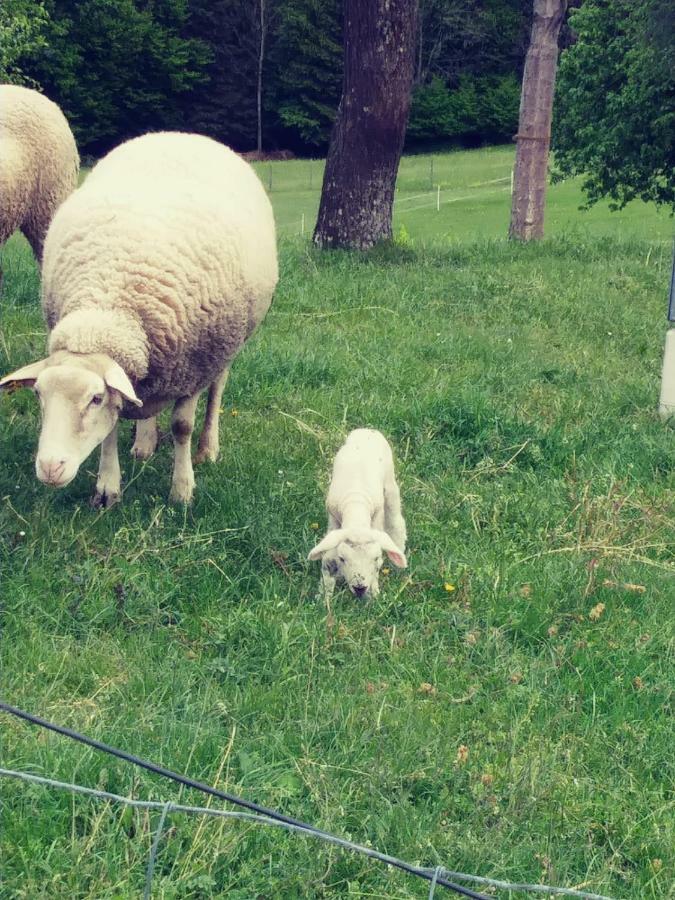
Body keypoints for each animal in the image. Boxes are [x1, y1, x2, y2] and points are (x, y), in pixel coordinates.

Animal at [0, 130, 278, 506]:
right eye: (38, 395)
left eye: (95, 398)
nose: (49, 468)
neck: (107, 312)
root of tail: (177, 134)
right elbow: (112, 426)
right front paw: (107, 487)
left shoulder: (192, 367)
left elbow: (181, 427)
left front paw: (182, 490)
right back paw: (144, 444)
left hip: (226, 346)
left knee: (217, 389)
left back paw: (207, 449)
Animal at [310, 428, 406, 596]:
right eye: (342, 558)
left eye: (376, 558)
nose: (359, 588)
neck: (356, 503)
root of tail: (367, 429)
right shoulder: (333, 517)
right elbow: (328, 559)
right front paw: (324, 595)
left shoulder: (377, 516)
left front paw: (374, 592)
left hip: (390, 483)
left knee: (395, 519)